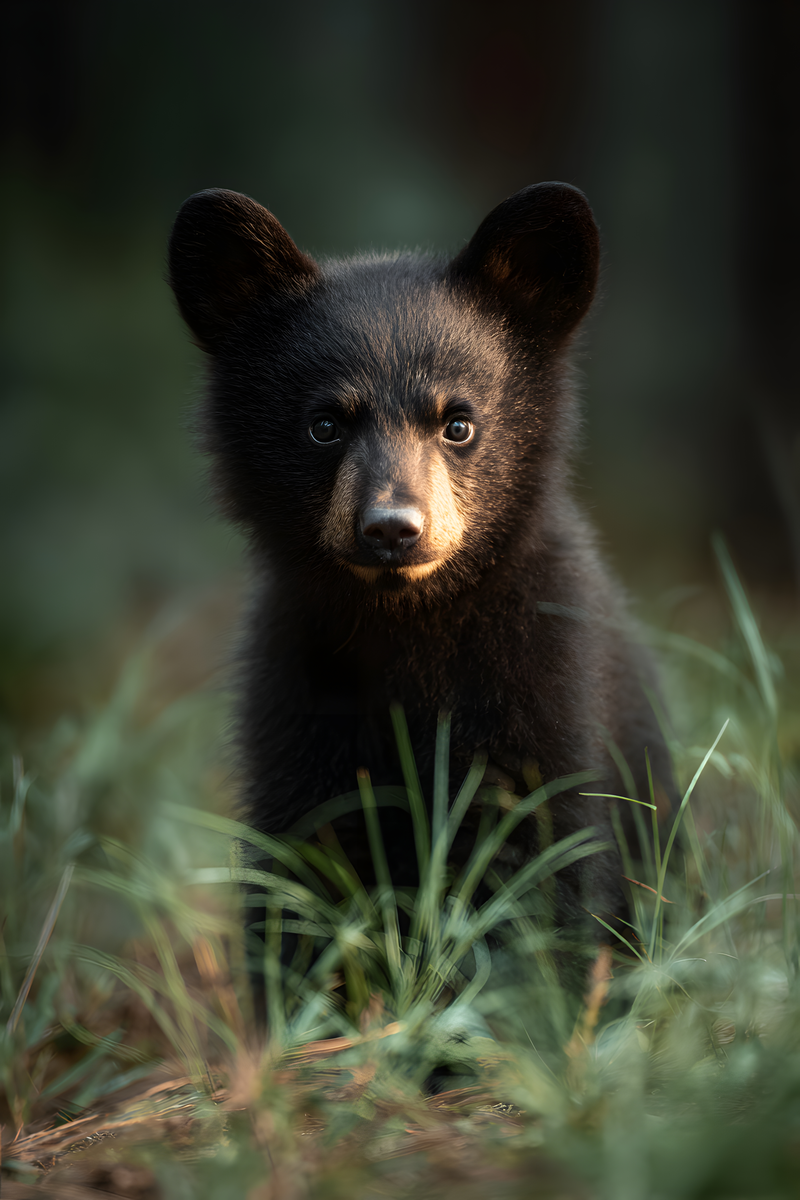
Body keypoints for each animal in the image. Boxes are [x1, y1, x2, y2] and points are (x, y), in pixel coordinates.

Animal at [168, 181, 674, 955]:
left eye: (458, 422)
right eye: (325, 424)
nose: (392, 529)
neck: (407, 622)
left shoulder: (545, 681)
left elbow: (541, 864)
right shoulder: (296, 696)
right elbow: (302, 879)